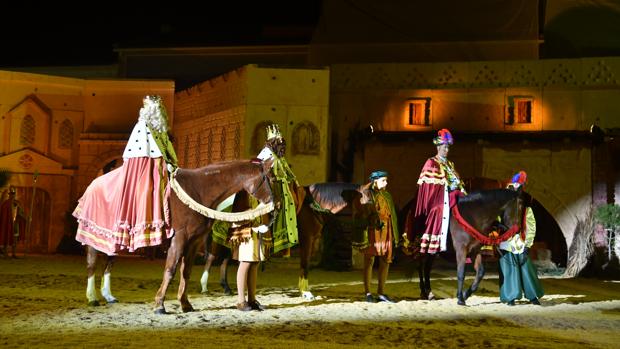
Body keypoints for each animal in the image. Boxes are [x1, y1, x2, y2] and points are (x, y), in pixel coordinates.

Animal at [83, 158, 274, 312]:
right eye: (270, 178)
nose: (273, 207)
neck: (198, 190)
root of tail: (95, 183)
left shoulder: (194, 241)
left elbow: (186, 271)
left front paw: (185, 303)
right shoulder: (179, 239)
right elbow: (171, 270)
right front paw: (160, 304)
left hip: (115, 240)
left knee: (108, 262)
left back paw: (108, 295)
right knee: (92, 264)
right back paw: (92, 297)